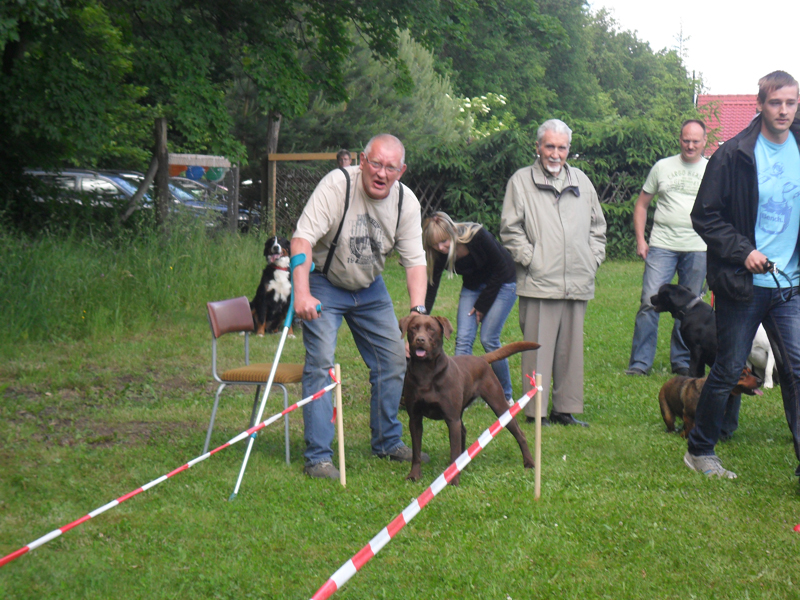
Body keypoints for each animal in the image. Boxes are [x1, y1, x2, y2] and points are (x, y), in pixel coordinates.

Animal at [399, 313, 538, 485]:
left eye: (431, 329)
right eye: (413, 328)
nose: (420, 339)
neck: (425, 372)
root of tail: (480, 359)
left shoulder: (451, 419)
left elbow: (453, 451)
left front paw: (453, 480)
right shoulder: (415, 418)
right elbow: (416, 452)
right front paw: (414, 475)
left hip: (498, 403)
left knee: (519, 433)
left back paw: (529, 463)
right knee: (463, 432)